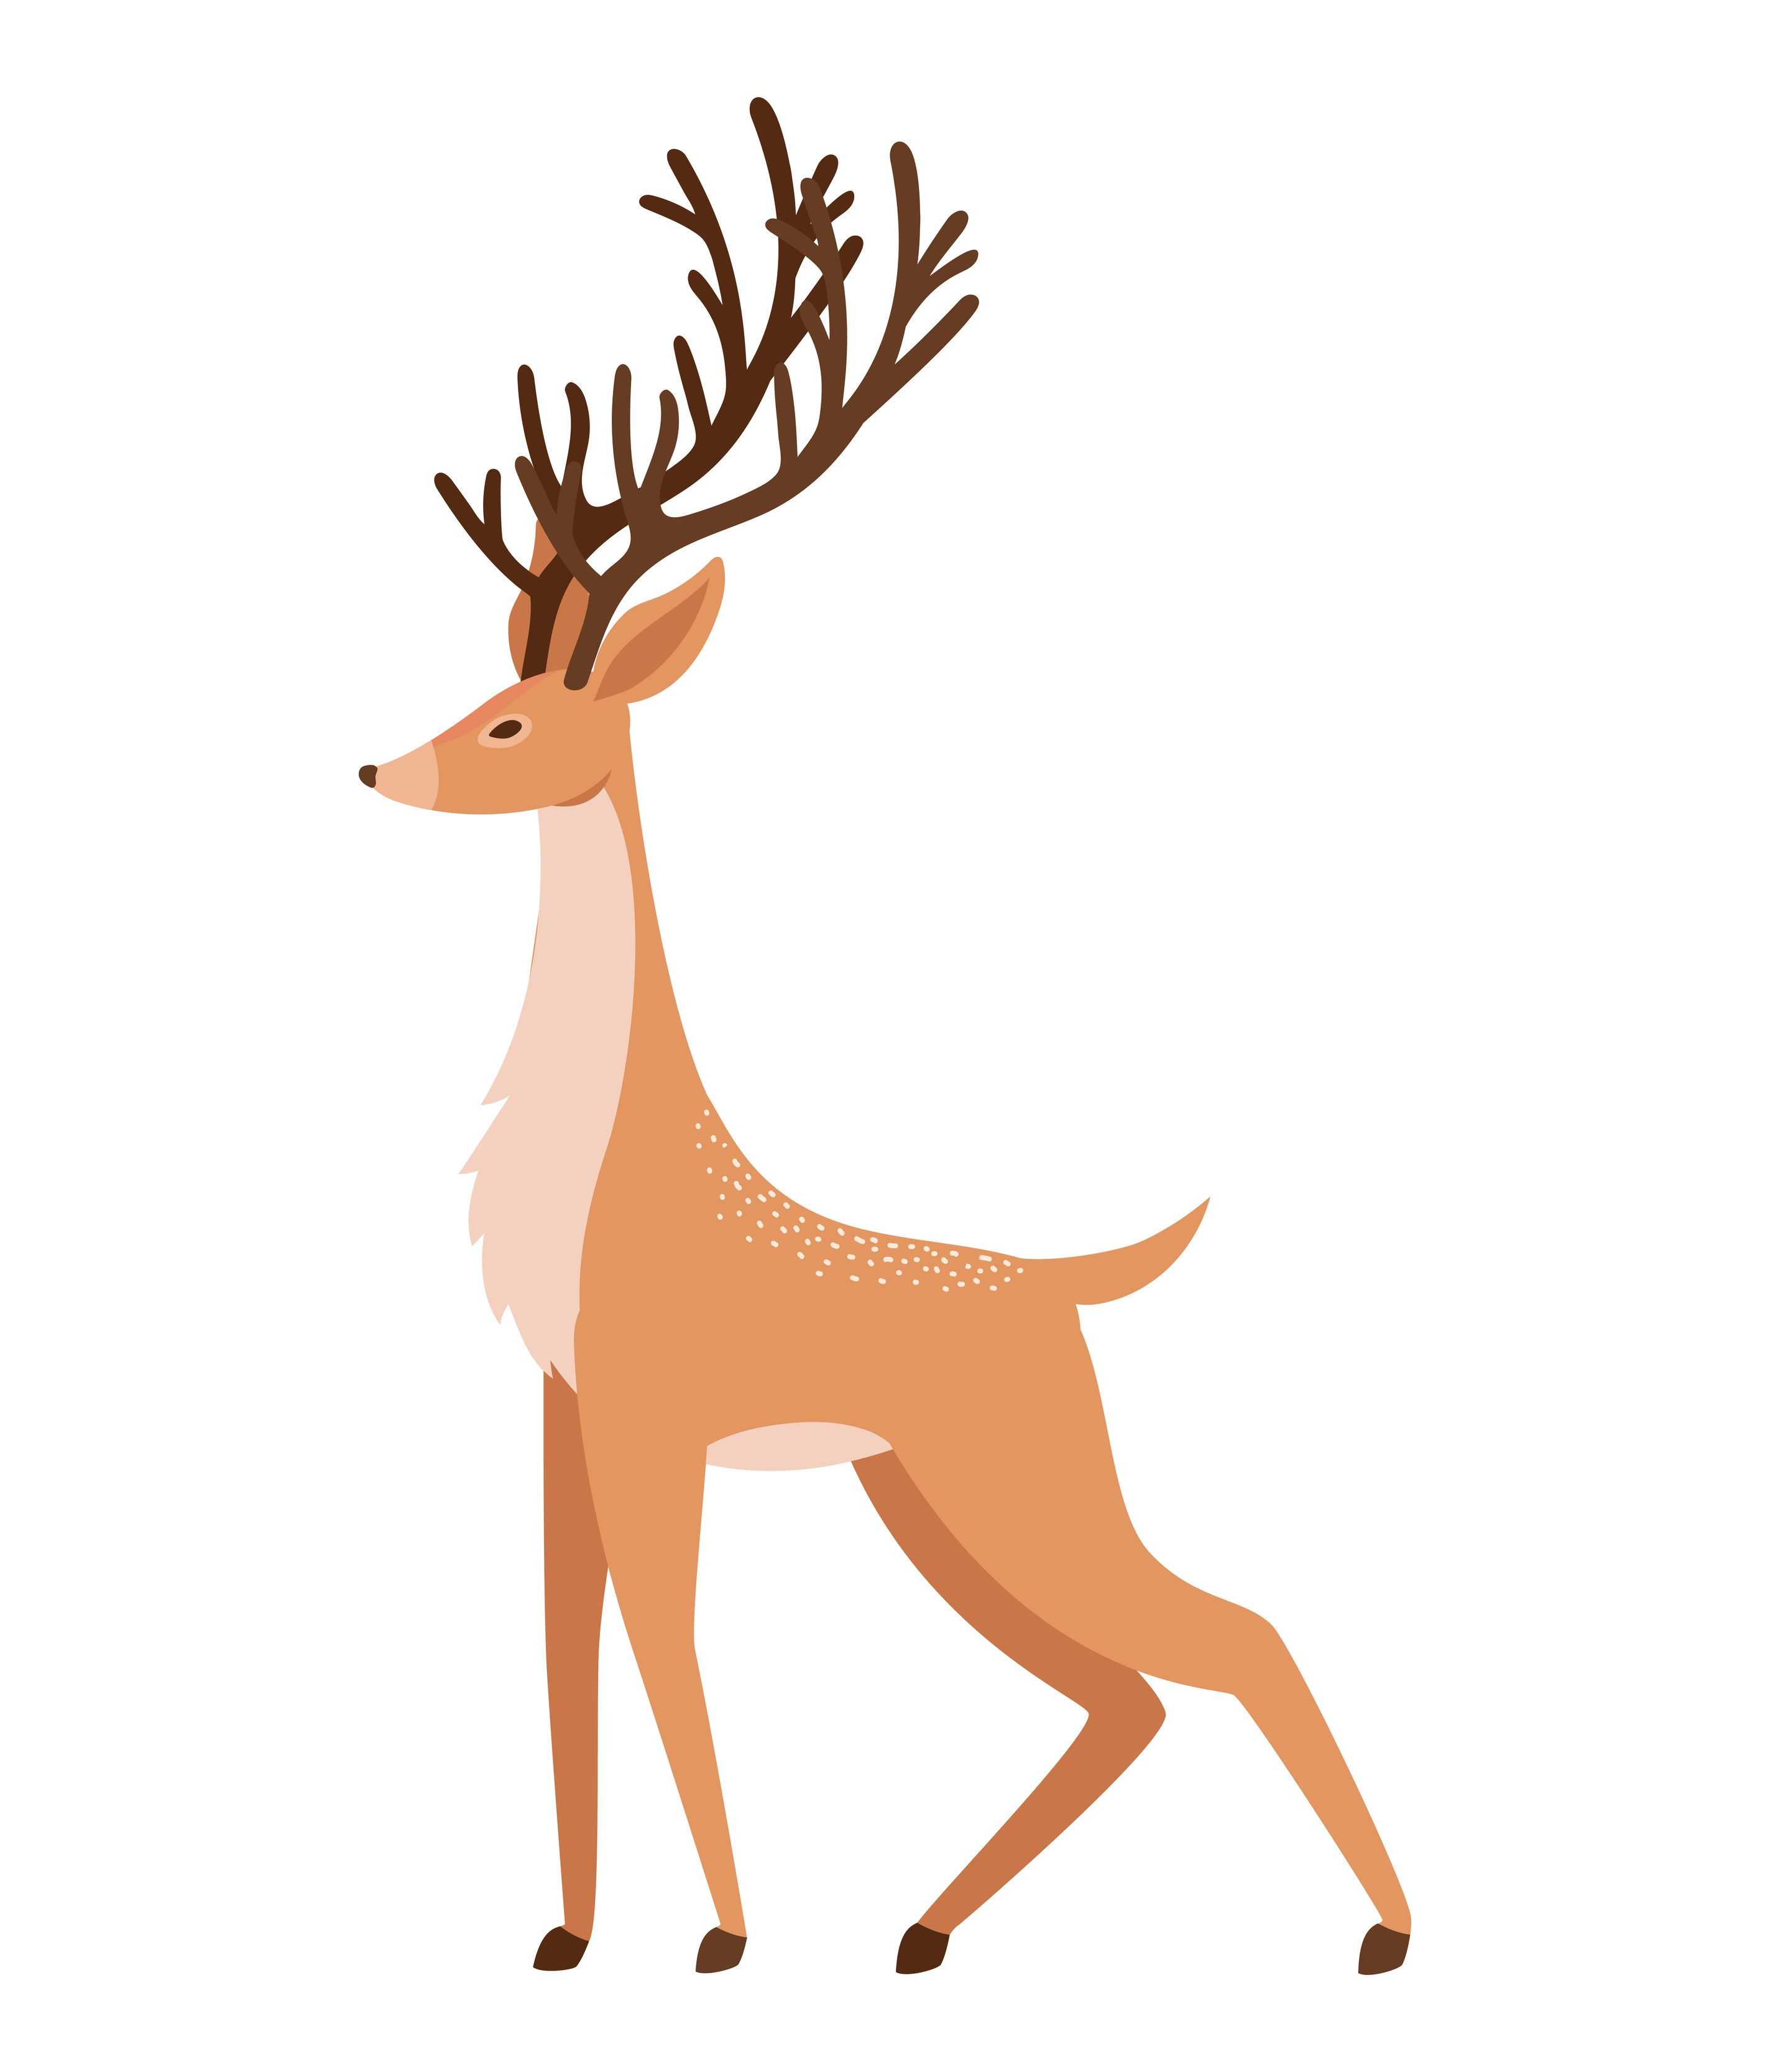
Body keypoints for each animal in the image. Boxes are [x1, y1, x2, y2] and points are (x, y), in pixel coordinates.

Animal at [360, 98, 1411, 1982]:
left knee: (1231, 1634)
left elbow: (669, 1655)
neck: (594, 1167)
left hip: (1016, 1480)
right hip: (925, 1498)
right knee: (1130, 1692)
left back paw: (1381, 1936)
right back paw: (919, 1929)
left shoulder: (649, 1417)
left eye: (513, 722)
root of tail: (1068, 1277)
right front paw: (564, 1937)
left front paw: (718, 1936)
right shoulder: (560, 1415)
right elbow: (564, 1667)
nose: (373, 765)